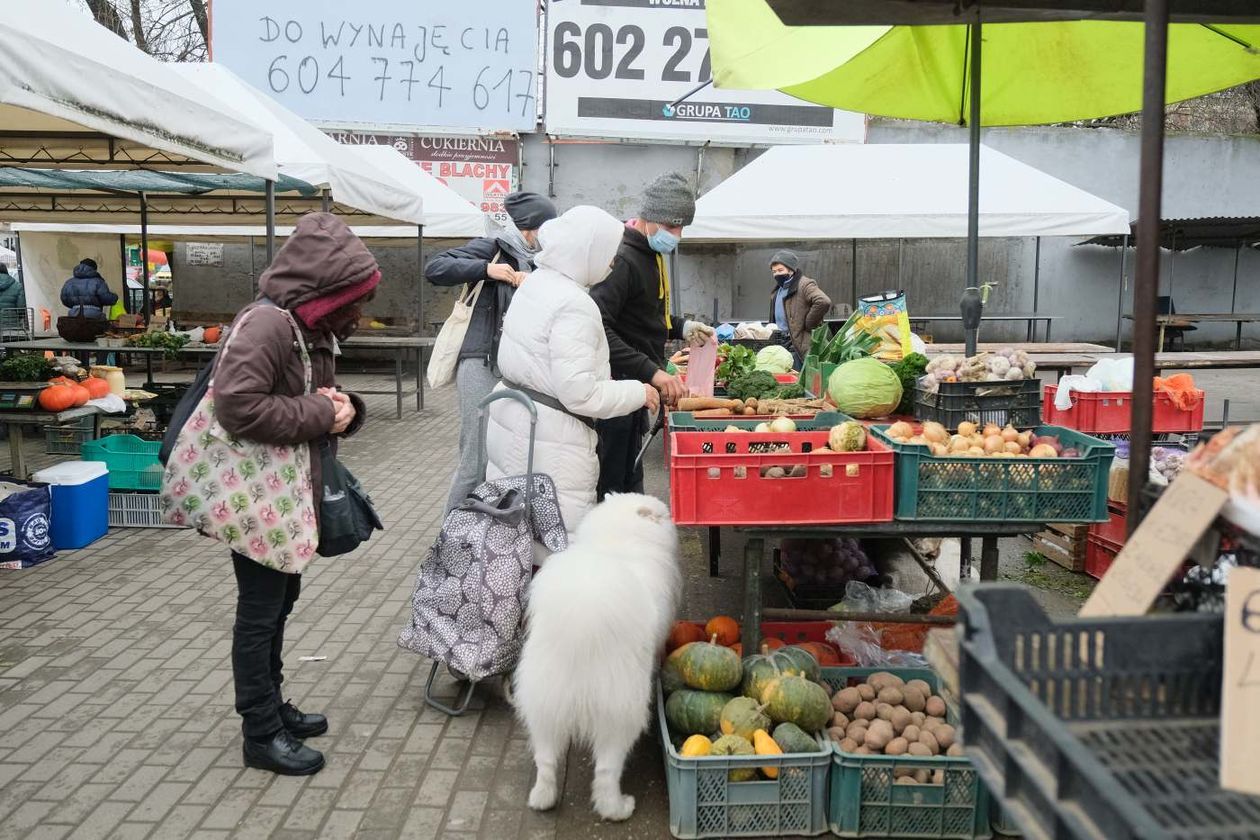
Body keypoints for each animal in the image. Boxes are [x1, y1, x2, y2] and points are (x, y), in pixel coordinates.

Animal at [514, 493, 680, 821]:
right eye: (664, 514)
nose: (674, 517)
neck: (620, 537)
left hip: (543, 702)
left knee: (546, 760)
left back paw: (542, 798)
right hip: (621, 712)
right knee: (606, 770)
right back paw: (617, 808)